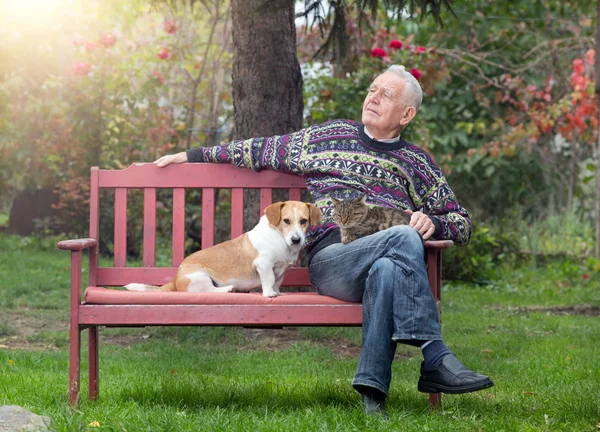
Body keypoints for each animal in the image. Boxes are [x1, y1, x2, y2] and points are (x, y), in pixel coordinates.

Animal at [126, 202, 322, 296]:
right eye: (286, 221)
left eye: (303, 221)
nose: (296, 240)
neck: (279, 238)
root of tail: (175, 280)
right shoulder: (264, 265)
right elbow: (268, 281)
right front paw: (269, 295)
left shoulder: (281, 270)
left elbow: (277, 282)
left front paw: (278, 292)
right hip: (201, 276)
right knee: (209, 290)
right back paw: (228, 289)